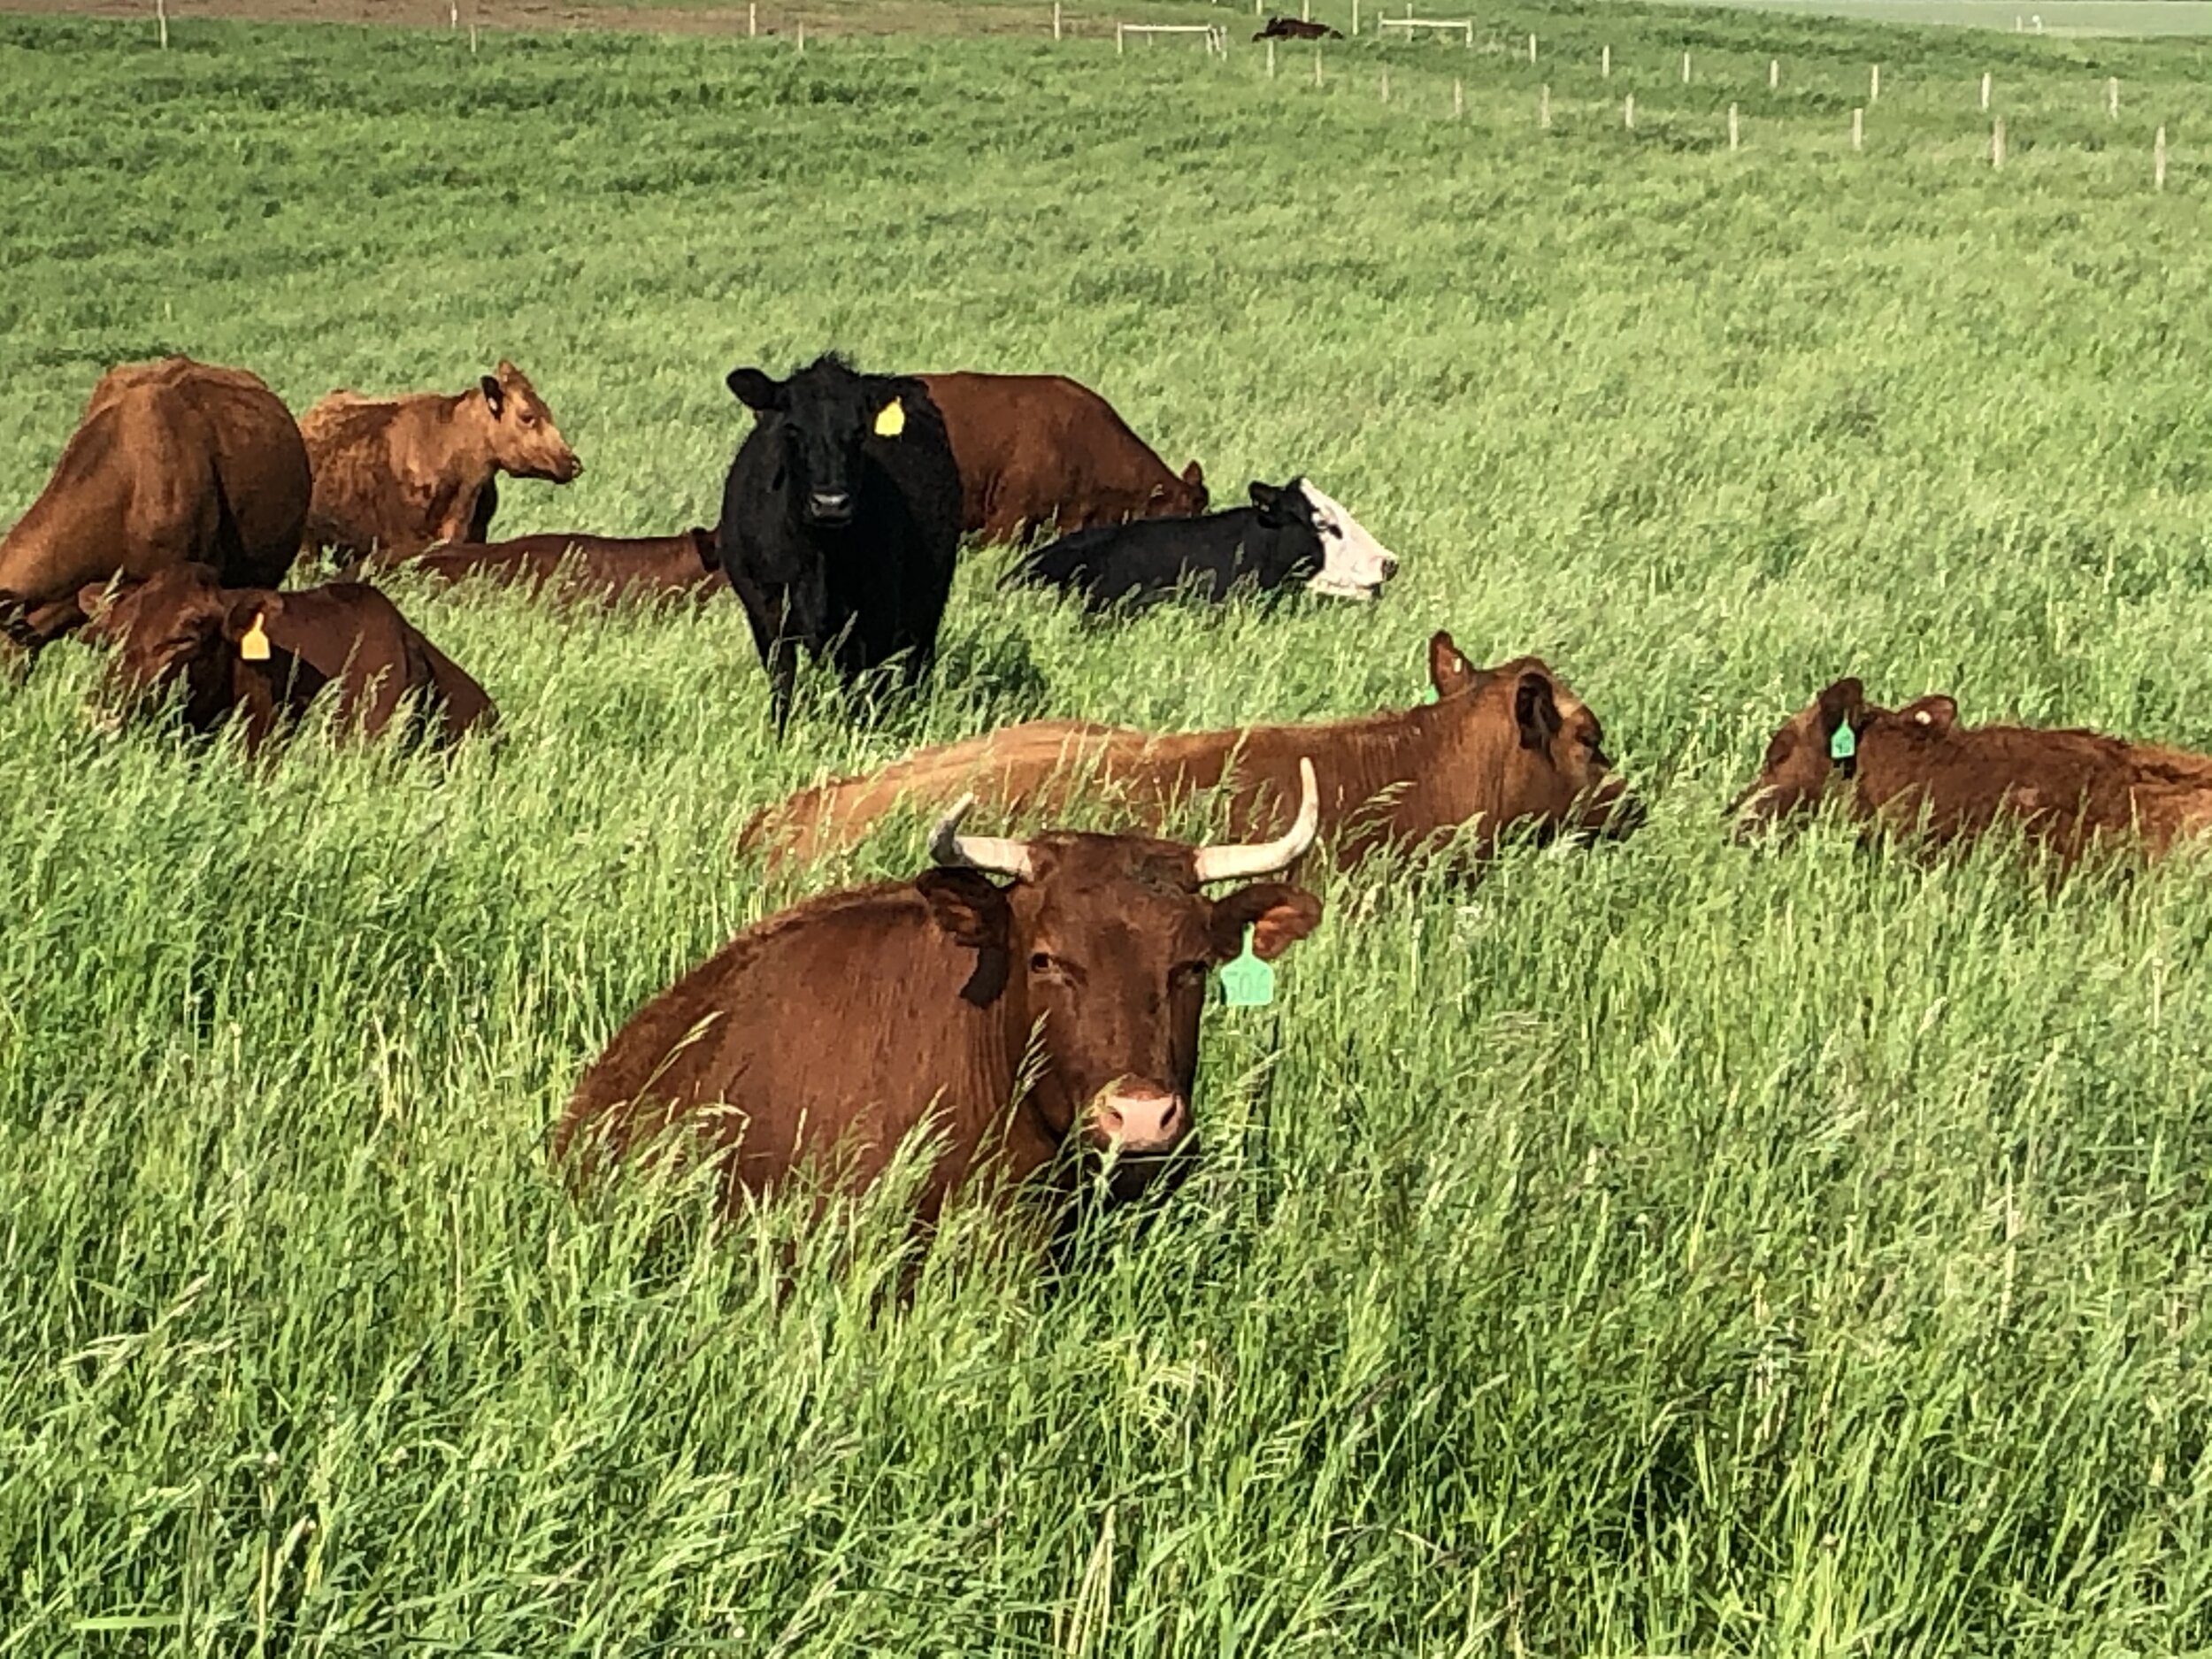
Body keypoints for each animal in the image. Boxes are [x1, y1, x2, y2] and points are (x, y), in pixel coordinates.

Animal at [717, 354, 964, 736]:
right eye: (792, 429)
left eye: (860, 432)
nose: (830, 503)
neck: (819, 553)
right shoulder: (766, 611)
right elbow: (782, 683)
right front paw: (778, 740)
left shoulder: (875, 615)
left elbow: (861, 691)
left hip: (929, 599)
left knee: (914, 666)